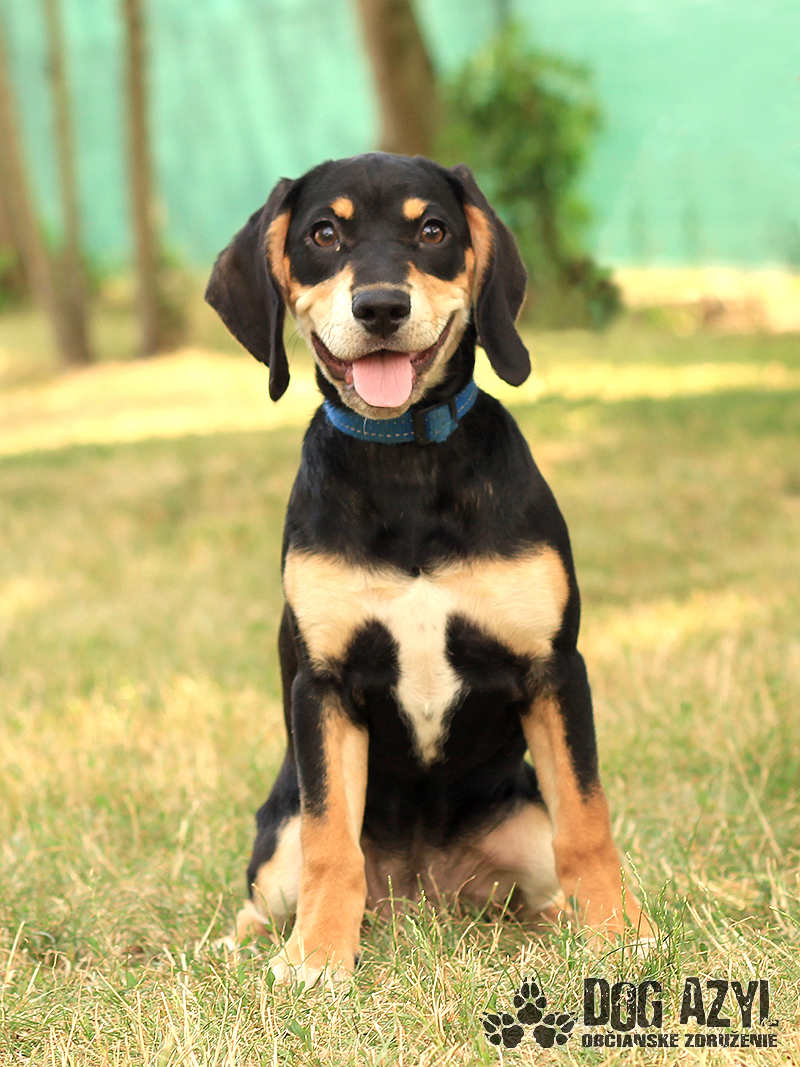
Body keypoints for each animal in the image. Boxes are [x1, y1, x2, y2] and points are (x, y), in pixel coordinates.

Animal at [206, 153, 654, 984]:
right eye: (324, 233)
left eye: (434, 230)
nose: (381, 306)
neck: (406, 463)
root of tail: (424, 894)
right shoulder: (322, 684)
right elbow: (331, 842)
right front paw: (317, 957)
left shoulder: (553, 666)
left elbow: (587, 820)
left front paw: (620, 931)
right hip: (277, 834)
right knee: (275, 889)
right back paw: (248, 940)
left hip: (521, 823)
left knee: (542, 884)